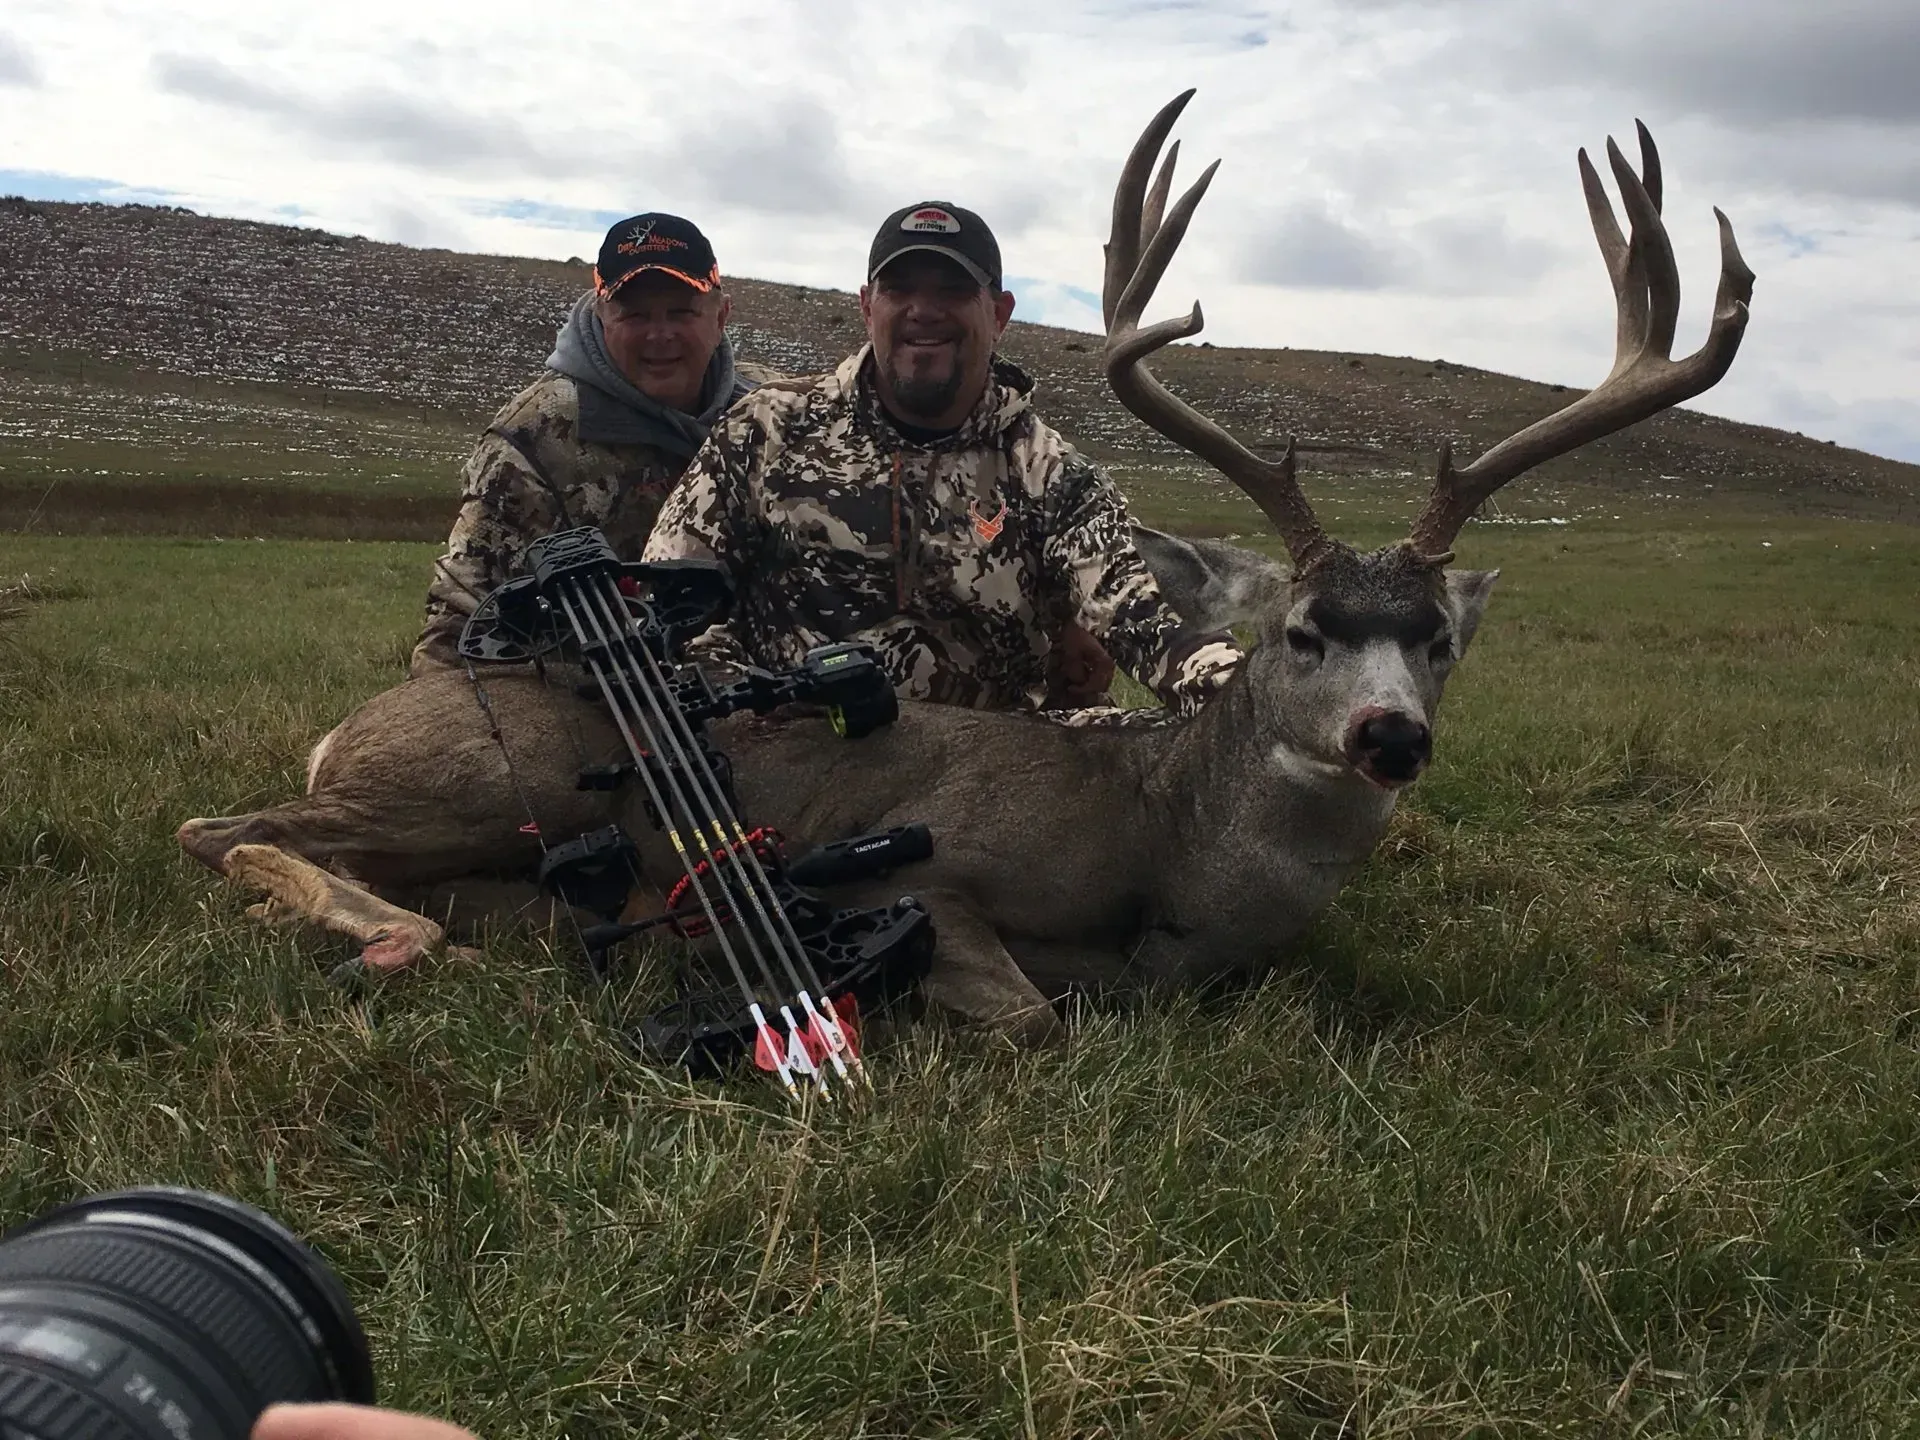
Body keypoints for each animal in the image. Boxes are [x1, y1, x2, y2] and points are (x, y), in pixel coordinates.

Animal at [176, 92, 1754, 1045]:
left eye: (1437, 639)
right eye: (1304, 628)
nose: (1390, 738)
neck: (1172, 855)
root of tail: (351, 726)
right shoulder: (943, 869)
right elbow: (1040, 1014)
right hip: (487, 784)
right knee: (222, 828)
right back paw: (403, 939)